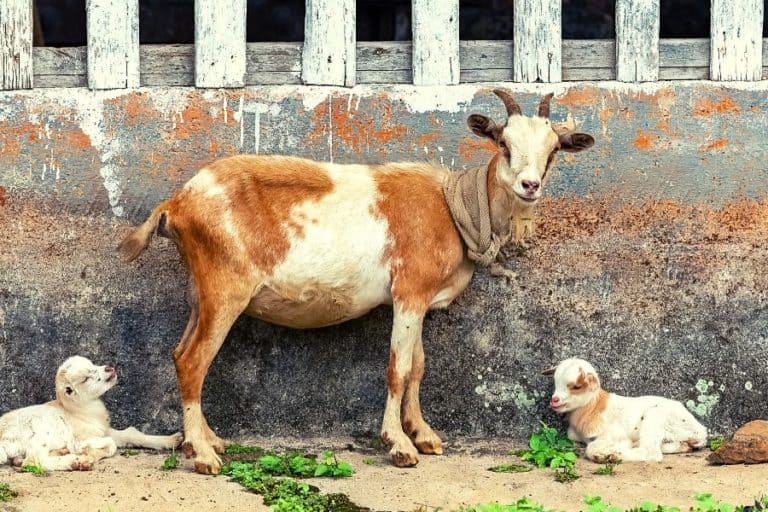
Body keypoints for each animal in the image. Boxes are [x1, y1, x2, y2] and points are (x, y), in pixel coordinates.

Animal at [118, 91, 595, 474]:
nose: (530, 185)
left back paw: (208, 440)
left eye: (554, 150)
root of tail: (176, 202)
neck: (449, 207)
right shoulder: (408, 292)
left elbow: (418, 366)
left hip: (200, 293)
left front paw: (424, 434)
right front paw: (399, 445)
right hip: (224, 290)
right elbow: (398, 368)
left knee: (180, 352)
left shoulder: (418, 300)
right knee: (192, 361)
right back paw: (201, 456)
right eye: (503, 143)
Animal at [545, 358, 708, 463]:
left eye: (576, 386)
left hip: (655, 417)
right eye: (555, 382)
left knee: (651, 453)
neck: (594, 408)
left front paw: (605, 454)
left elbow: (591, 448)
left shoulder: (613, 434)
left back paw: (613, 455)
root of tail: (701, 431)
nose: (554, 400)